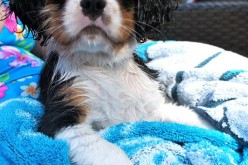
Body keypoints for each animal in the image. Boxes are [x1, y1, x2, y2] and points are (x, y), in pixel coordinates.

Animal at [6, 0, 211, 164]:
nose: (92, 3)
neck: (103, 65)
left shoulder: (152, 107)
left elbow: (188, 117)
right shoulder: (61, 118)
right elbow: (108, 152)